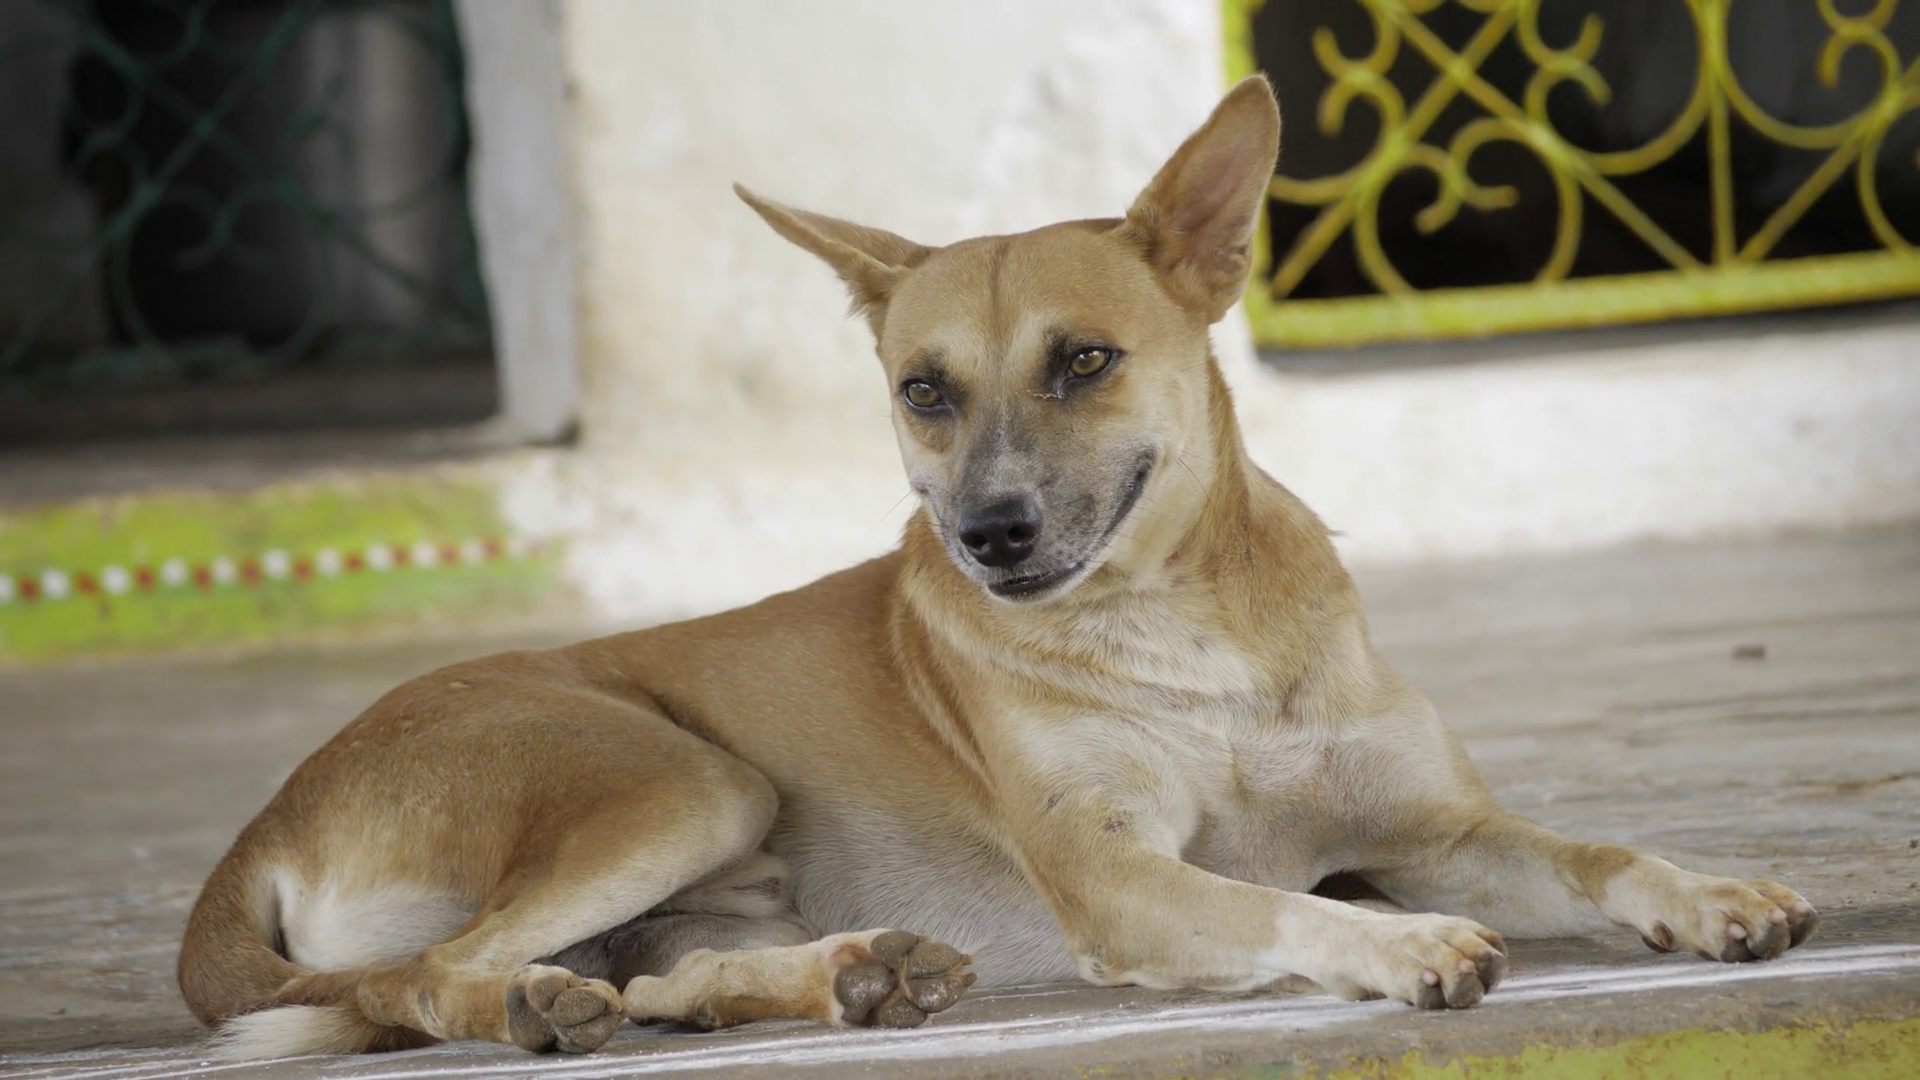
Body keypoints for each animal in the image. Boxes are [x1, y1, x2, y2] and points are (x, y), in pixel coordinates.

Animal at [177, 76, 1817, 1059]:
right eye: (924, 390)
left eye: (1084, 360)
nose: (988, 535)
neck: (1193, 635)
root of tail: (269, 812)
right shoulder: (1119, 876)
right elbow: (1286, 910)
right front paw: (1404, 945)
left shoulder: (1434, 822)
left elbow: (1593, 854)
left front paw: (1710, 891)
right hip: (679, 780)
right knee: (410, 982)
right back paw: (527, 998)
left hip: (712, 861)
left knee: (665, 979)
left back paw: (852, 977)